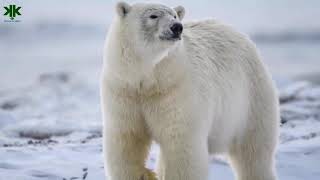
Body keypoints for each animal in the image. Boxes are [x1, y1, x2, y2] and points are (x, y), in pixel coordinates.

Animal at [101, 1, 278, 180]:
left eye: (174, 15)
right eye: (153, 15)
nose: (177, 27)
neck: (149, 80)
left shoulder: (174, 91)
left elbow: (181, 144)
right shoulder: (124, 90)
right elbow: (128, 139)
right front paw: (145, 174)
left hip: (249, 99)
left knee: (253, 151)